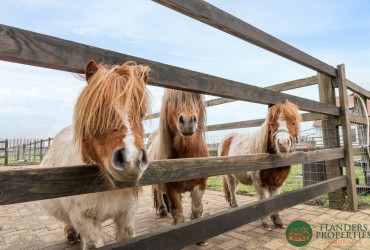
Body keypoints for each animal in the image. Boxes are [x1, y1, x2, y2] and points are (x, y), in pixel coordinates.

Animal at [148, 90, 211, 227]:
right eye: (171, 100)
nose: (187, 121)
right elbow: (178, 214)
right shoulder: (172, 189)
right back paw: (162, 209)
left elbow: (197, 210)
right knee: (158, 191)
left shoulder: (200, 184)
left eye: (197, 98)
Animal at [218, 99, 300, 230]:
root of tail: (227, 138)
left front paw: (277, 220)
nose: (283, 144)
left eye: (293, 123)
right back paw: (234, 205)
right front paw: (265, 222)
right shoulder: (260, 183)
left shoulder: (277, 183)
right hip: (229, 175)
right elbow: (263, 200)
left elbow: (275, 199)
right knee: (231, 189)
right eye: (271, 124)